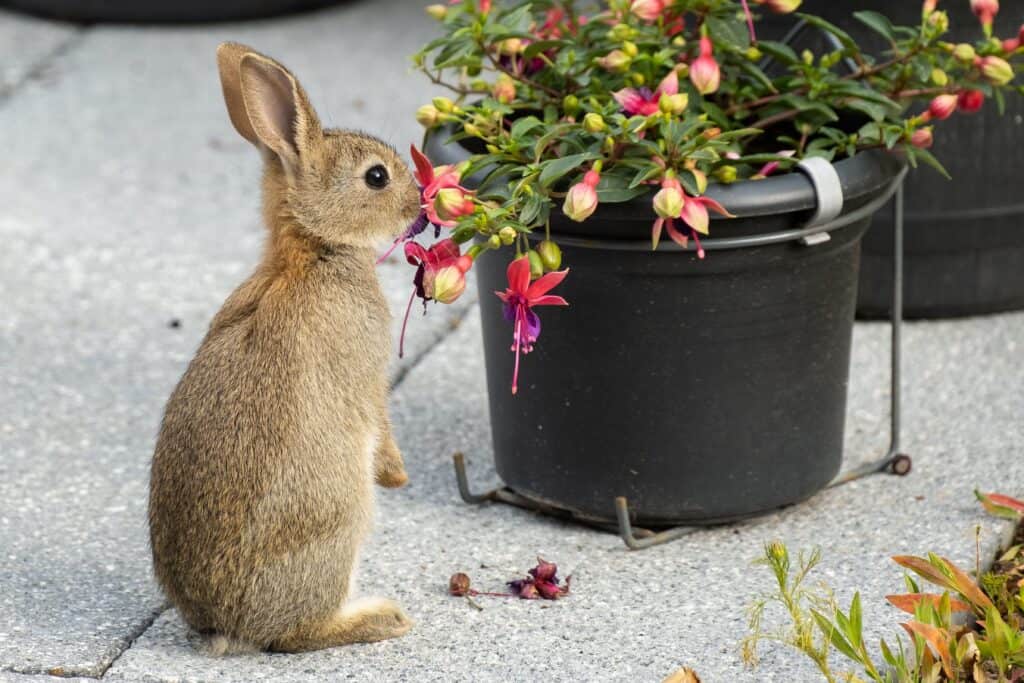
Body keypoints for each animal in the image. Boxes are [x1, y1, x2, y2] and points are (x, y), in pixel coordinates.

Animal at [145, 40, 419, 655]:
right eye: (376, 177)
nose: (417, 204)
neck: (314, 247)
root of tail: (229, 624)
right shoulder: (367, 372)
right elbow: (379, 417)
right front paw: (397, 476)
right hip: (338, 522)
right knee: (296, 634)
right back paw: (384, 618)